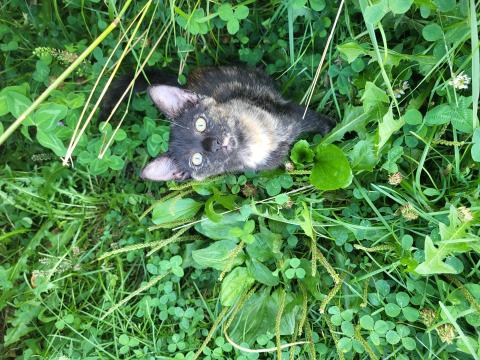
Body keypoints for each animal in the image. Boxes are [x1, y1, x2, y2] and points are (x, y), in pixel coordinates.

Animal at [101, 65, 334, 180]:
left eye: (200, 124)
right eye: (196, 159)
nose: (214, 144)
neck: (252, 142)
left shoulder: (291, 113)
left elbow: (323, 123)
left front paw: (338, 131)